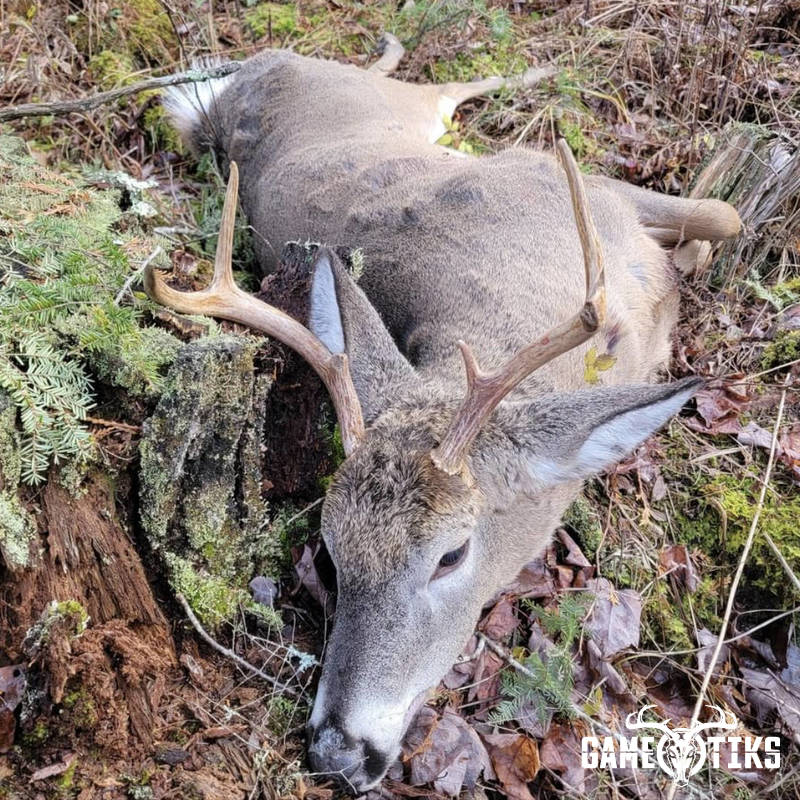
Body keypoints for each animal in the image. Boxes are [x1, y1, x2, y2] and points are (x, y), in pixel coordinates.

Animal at [148, 40, 741, 792]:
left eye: (451, 555)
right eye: (330, 555)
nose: (337, 751)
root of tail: (238, 87)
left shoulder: (581, 184)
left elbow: (724, 215)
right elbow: (718, 224)